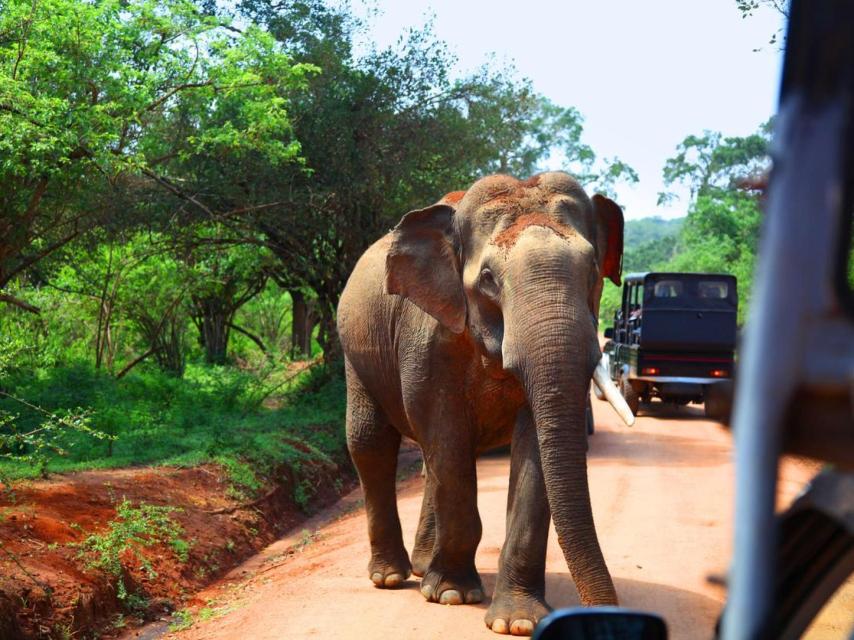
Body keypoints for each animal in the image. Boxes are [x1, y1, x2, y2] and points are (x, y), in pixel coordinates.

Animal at [336, 172, 634, 636]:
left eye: (591, 270)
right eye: (490, 278)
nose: (607, 613)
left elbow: (531, 449)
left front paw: (518, 622)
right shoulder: (427, 337)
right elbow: (448, 439)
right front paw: (453, 595)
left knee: (427, 460)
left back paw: (423, 567)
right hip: (356, 349)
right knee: (371, 443)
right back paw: (392, 577)